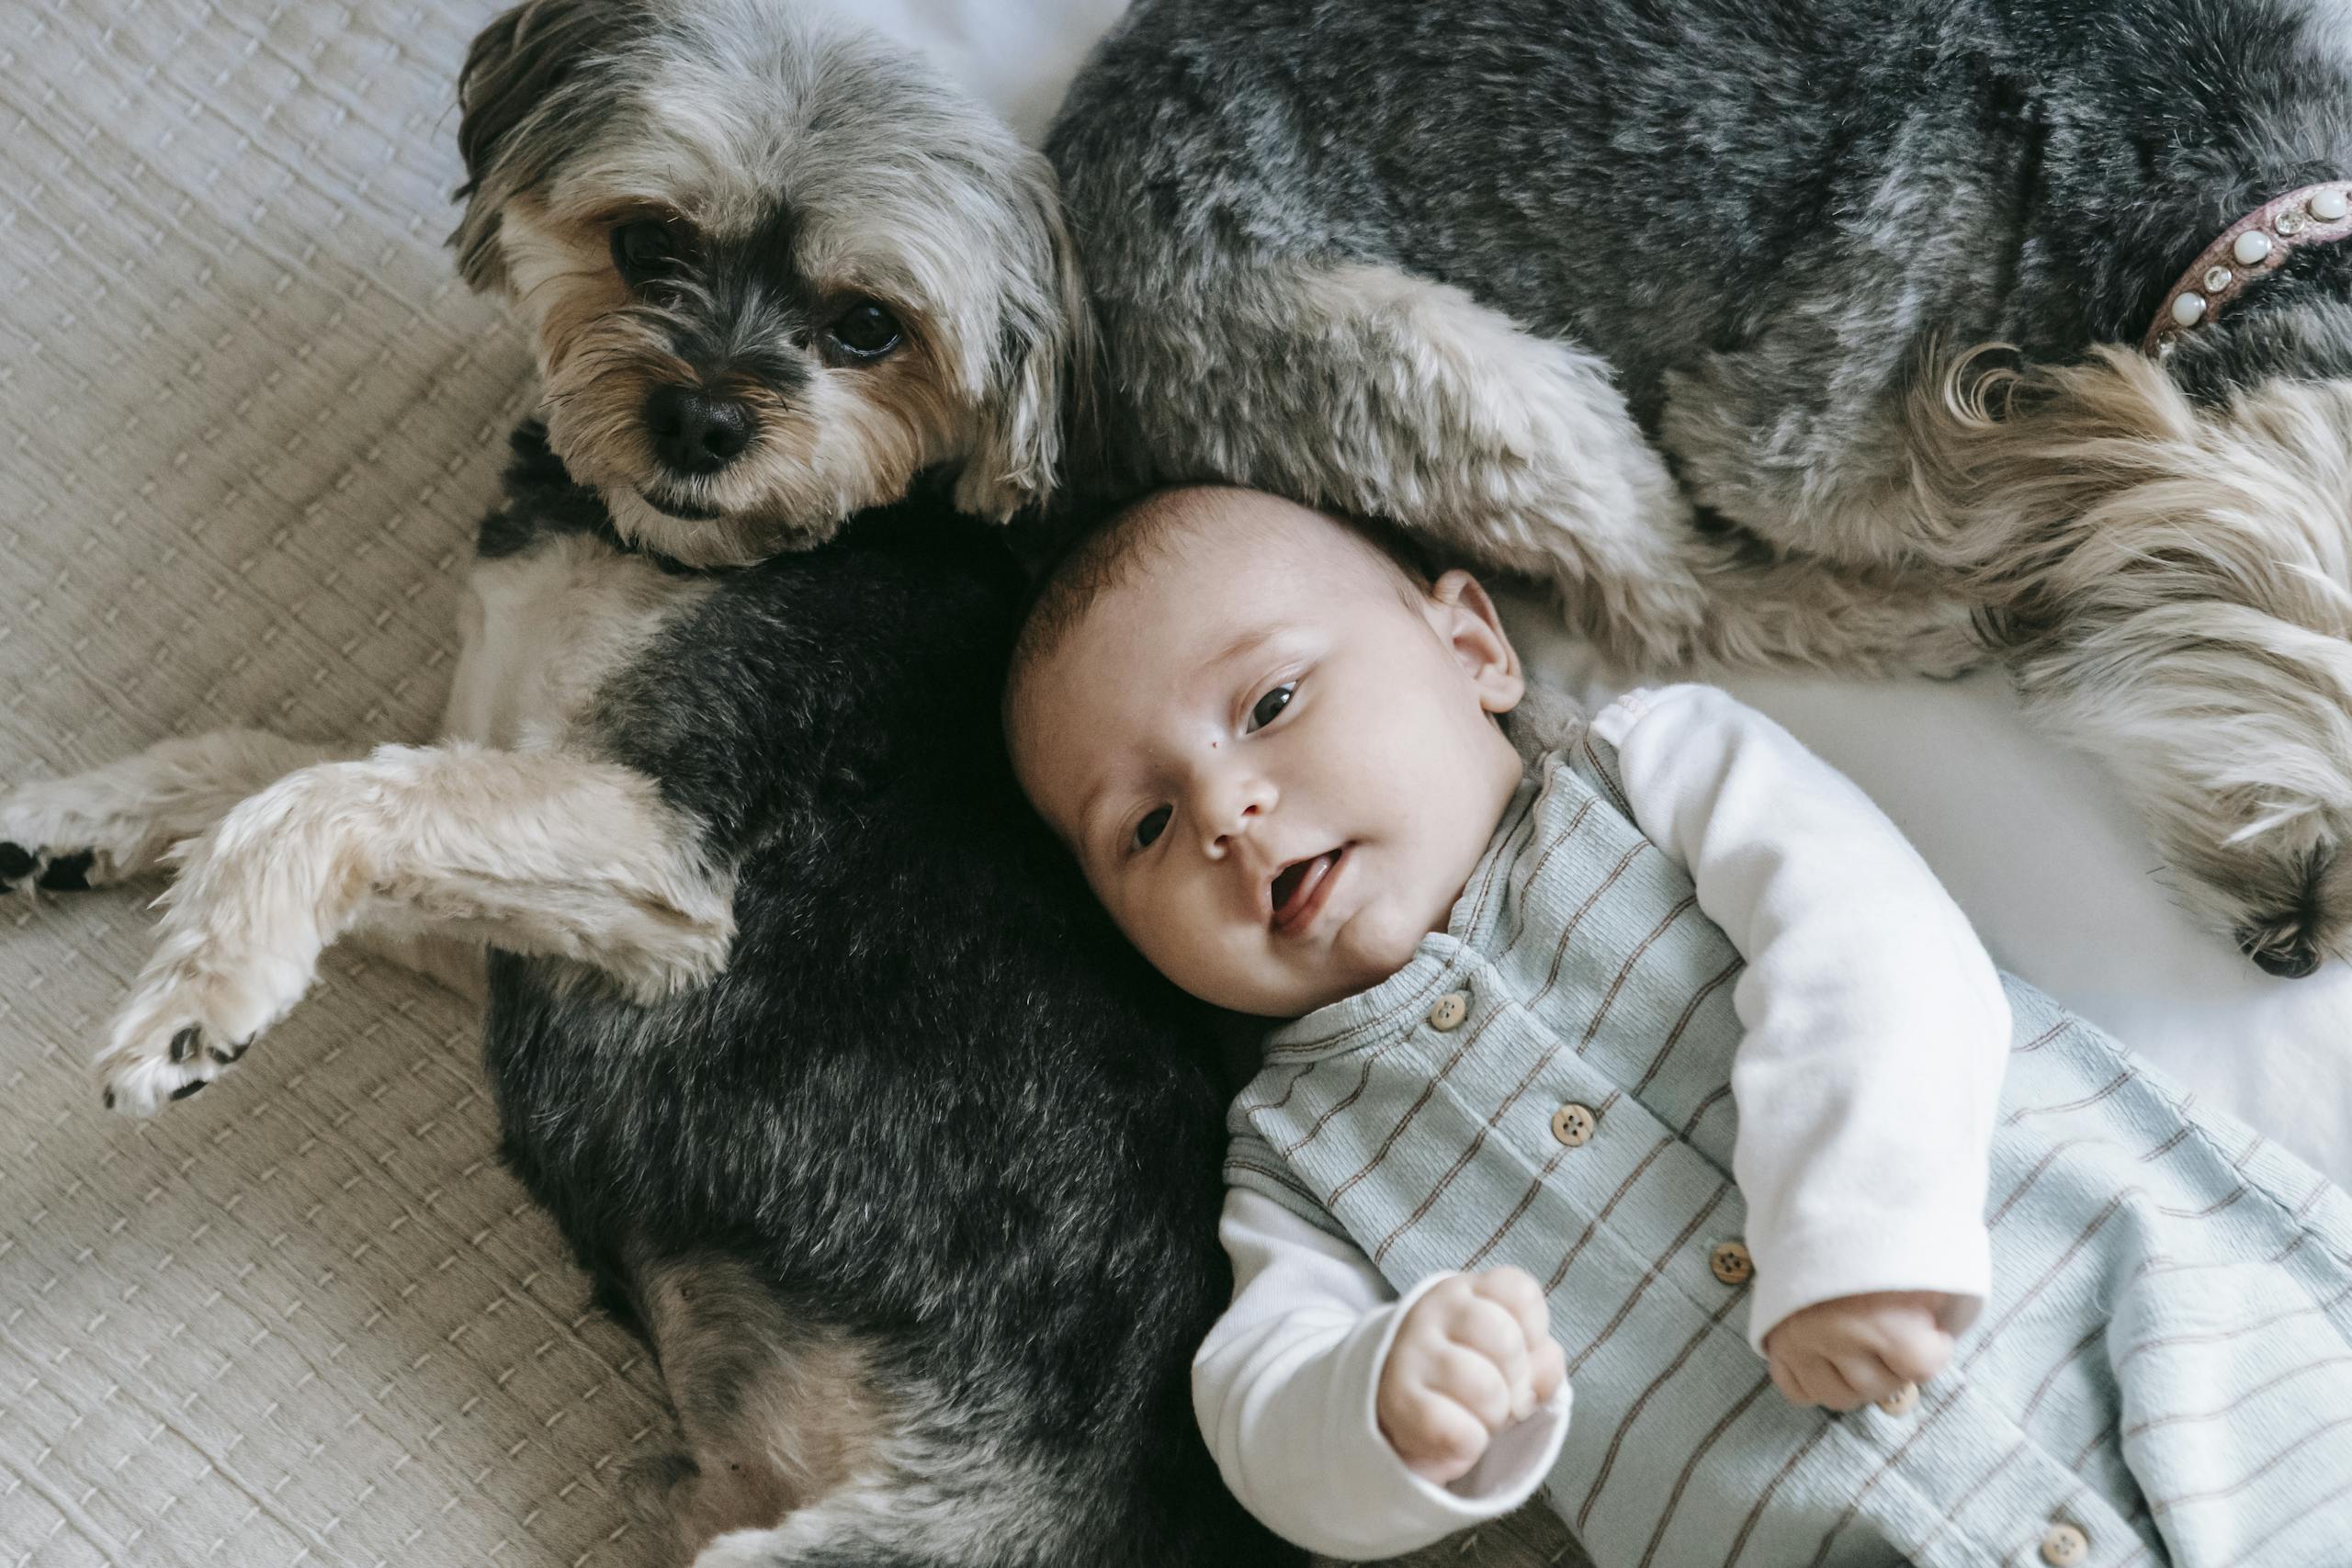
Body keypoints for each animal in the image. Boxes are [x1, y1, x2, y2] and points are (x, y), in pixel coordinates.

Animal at [0, 6, 1288, 1561]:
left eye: (869, 325)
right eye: (647, 242)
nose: (700, 422)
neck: (667, 550)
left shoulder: (663, 864)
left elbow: (331, 794)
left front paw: (198, 999)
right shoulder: (502, 891)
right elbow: (271, 763)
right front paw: (62, 824)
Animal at [1053, 0, 2352, 982]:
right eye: (2273, 789)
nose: (2297, 954)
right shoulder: (1780, 434)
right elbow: (1960, 509)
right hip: (1442, 369)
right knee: (1674, 597)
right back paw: (1913, 621)